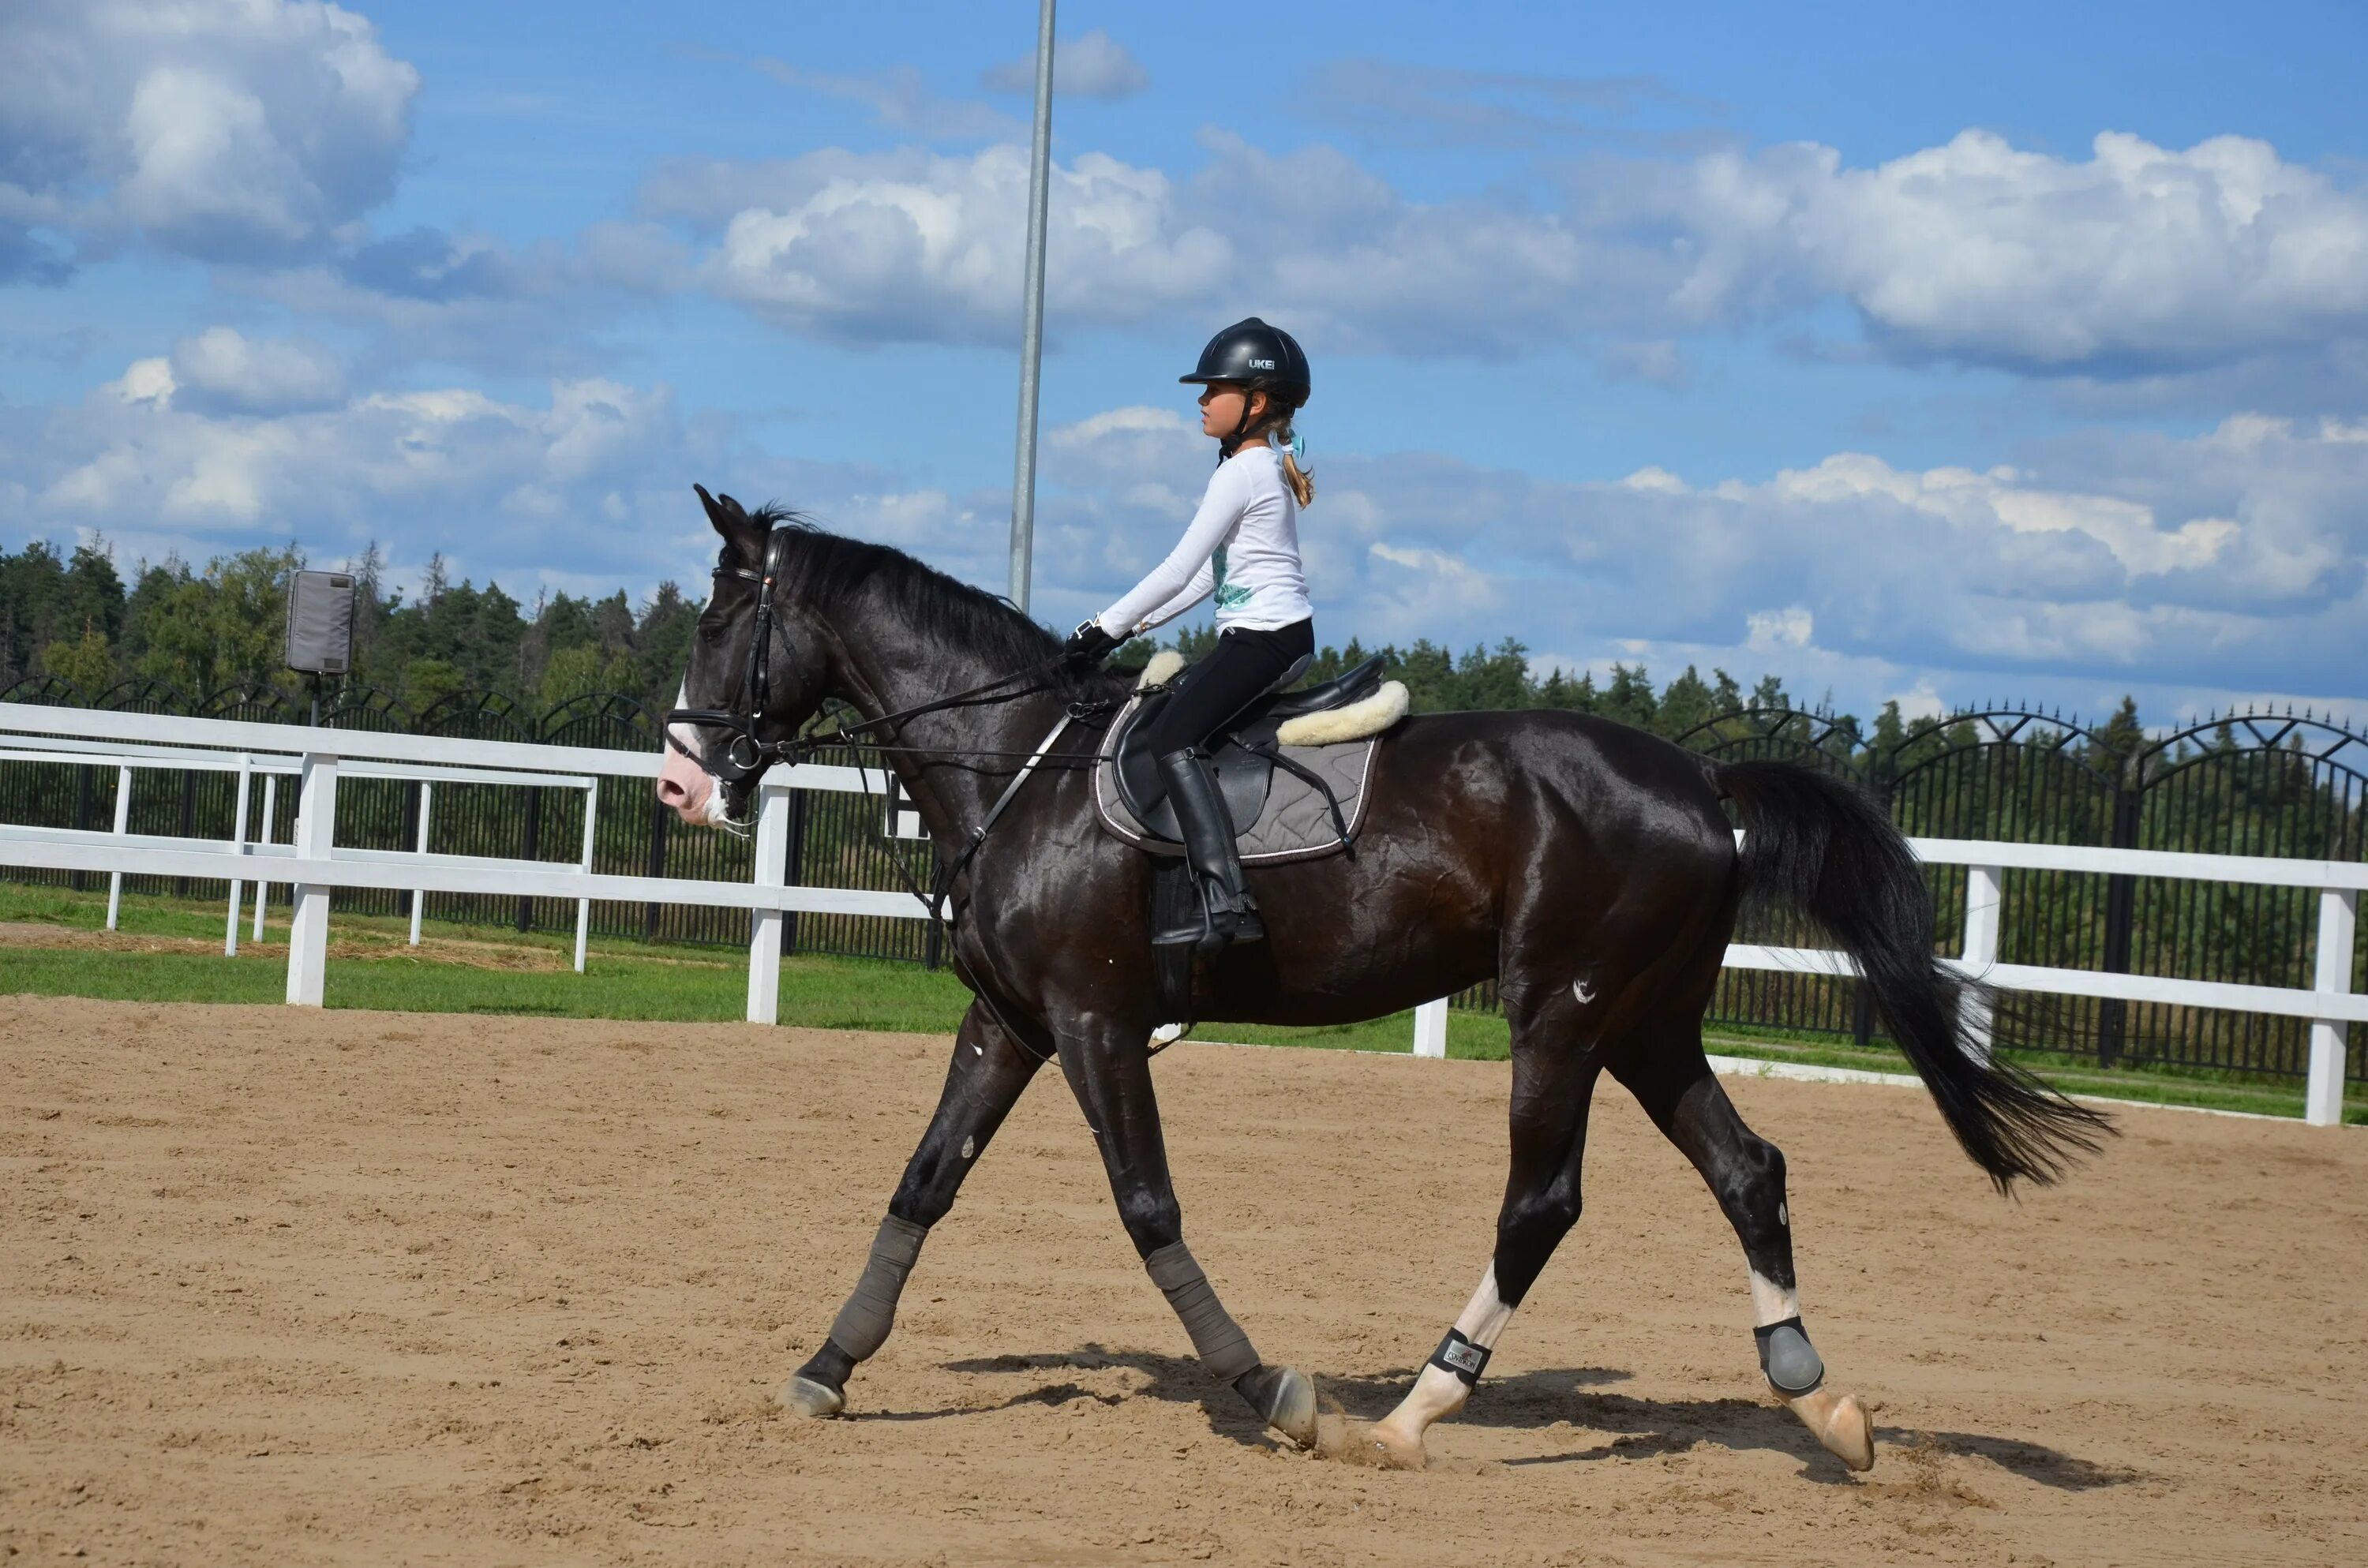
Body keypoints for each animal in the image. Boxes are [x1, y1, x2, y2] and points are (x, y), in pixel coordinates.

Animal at [654, 492, 2112, 1477]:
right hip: (1646, 1023)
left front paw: (1270, 1388)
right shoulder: (1010, 1020)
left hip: (1564, 1015)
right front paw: (825, 1368)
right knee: (1748, 1170)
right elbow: (922, 1183)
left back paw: (1414, 1411)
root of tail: (1704, 779)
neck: (1023, 759)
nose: (678, 782)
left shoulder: (1094, 1021)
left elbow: (1146, 1206)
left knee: (1543, 1201)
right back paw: (1822, 1402)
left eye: (722, 618)